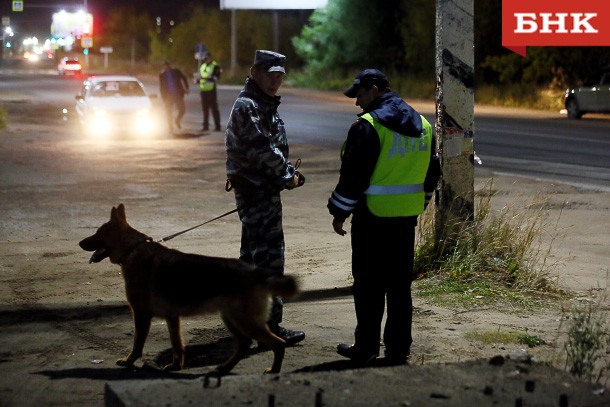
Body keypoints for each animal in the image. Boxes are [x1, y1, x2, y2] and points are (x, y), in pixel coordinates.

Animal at [79, 204, 298, 376]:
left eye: (97, 233)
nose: (80, 242)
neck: (132, 249)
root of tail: (256, 272)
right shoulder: (172, 317)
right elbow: (177, 344)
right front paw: (176, 366)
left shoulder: (141, 315)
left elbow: (137, 343)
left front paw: (129, 361)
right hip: (232, 318)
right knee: (244, 343)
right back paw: (225, 368)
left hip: (244, 320)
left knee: (277, 344)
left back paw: (274, 370)